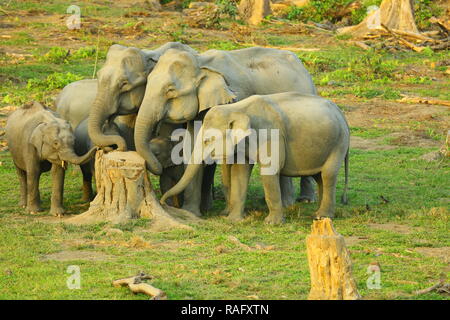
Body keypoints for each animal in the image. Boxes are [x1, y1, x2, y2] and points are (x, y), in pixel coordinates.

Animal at [133, 46, 316, 215]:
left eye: (170, 91)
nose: (163, 202)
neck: (201, 62)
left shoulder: (236, 99)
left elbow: (231, 156)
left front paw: (226, 212)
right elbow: (192, 147)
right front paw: (191, 212)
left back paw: (303, 201)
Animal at [160, 92, 350, 222]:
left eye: (207, 140)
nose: (163, 202)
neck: (237, 109)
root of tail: (342, 114)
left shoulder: (271, 136)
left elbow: (269, 171)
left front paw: (271, 223)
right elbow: (240, 172)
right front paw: (234, 220)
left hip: (339, 143)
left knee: (328, 175)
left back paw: (323, 216)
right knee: (319, 177)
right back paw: (318, 215)